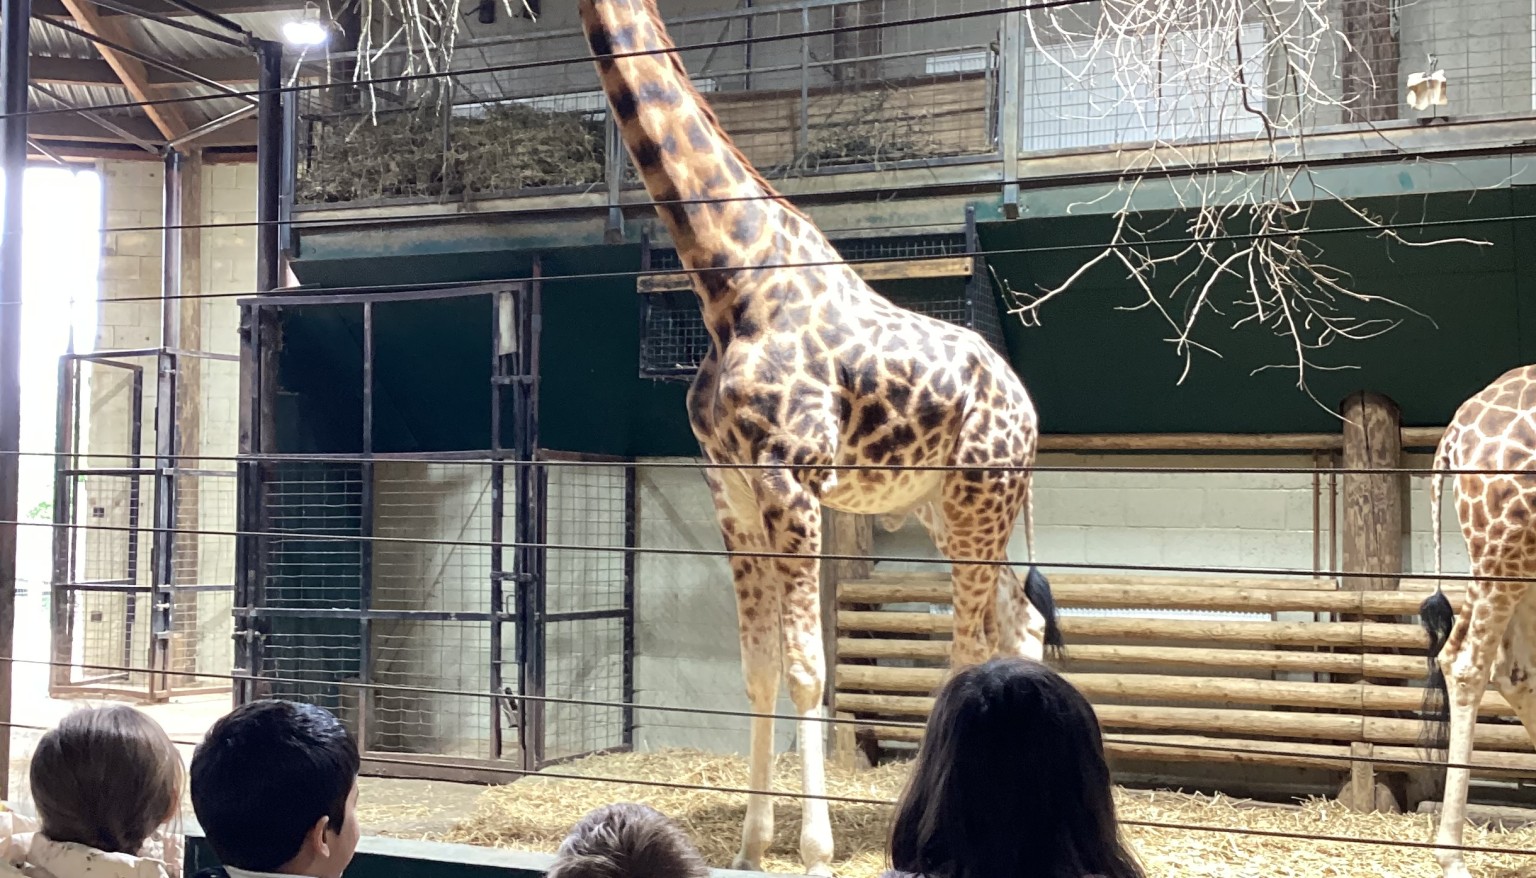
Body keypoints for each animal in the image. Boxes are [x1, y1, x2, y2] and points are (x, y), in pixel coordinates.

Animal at [577, 2, 1064, 873]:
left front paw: (813, 845)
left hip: (979, 502)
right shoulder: (732, 495)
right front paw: (750, 842)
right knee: (1021, 622)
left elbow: (809, 669)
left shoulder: (791, 484)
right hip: (960, 510)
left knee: (969, 648)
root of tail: (1027, 408)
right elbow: (759, 669)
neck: (728, 283)